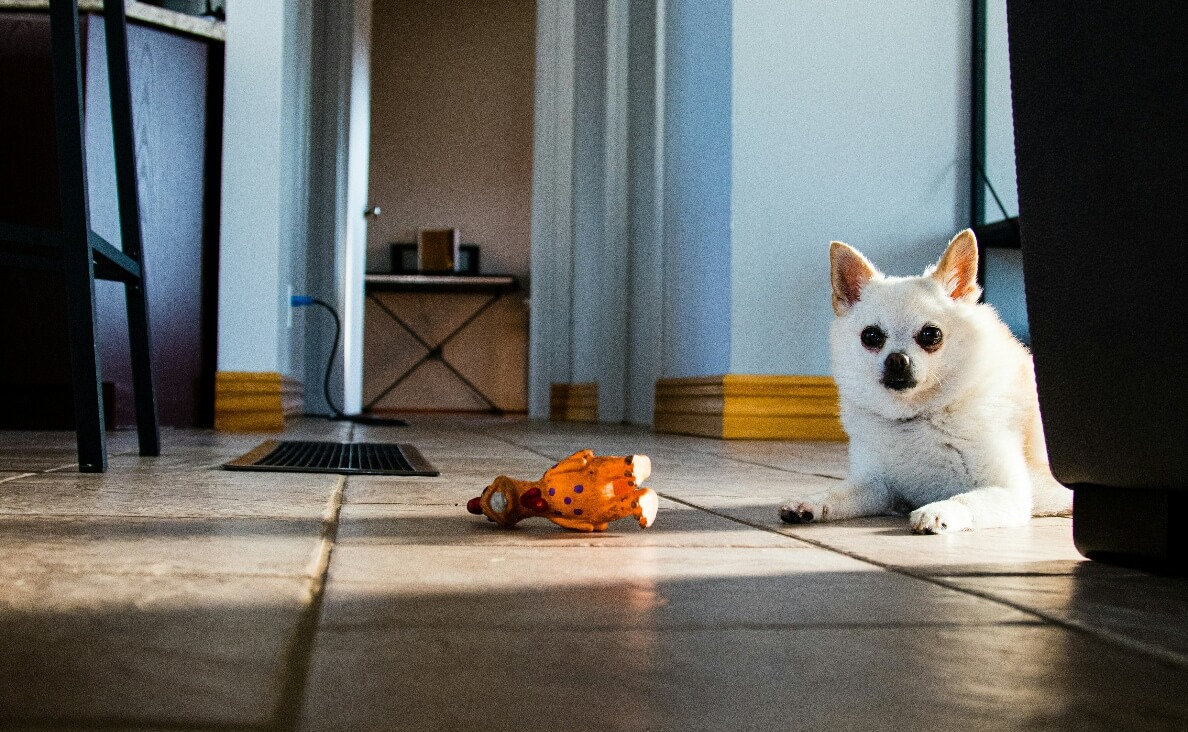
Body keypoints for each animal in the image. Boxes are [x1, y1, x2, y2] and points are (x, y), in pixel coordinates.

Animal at [779, 228, 1069, 532]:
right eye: (870, 336)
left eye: (931, 335)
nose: (897, 359)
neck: (916, 416)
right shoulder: (876, 486)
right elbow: (838, 493)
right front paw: (809, 502)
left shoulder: (1009, 493)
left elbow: (965, 499)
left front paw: (938, 510)